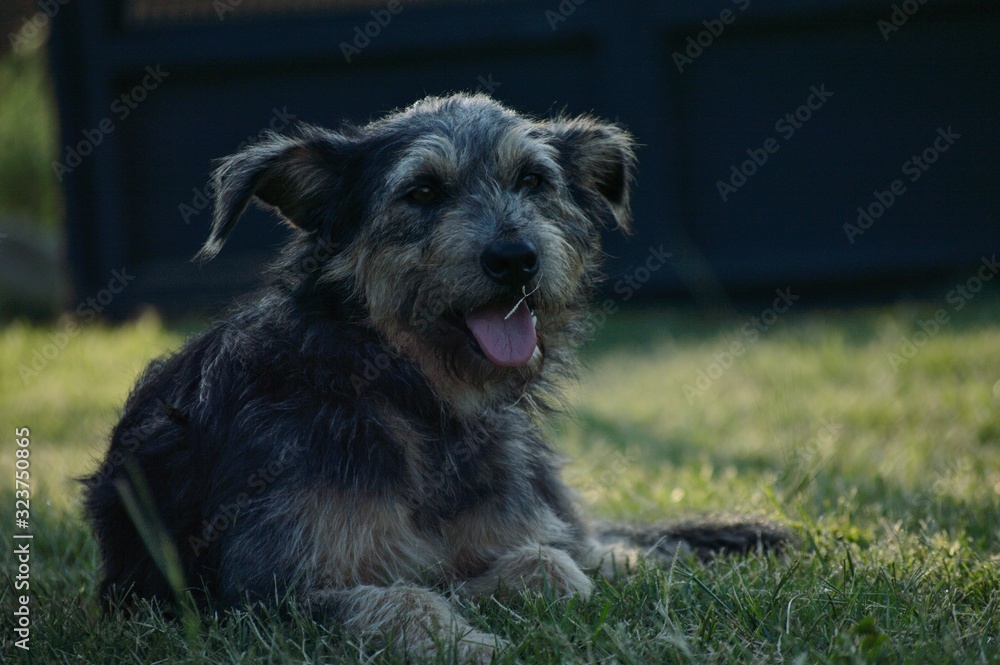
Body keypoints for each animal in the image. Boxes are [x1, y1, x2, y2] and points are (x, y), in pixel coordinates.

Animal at [86, 93, 788, 660]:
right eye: (422, 191)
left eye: (533, 180)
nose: (515, 258)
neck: (419, 404)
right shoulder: (260, 595)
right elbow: (403, 598)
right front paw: (470, 641)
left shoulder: (524, 530)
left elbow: (553, 566)